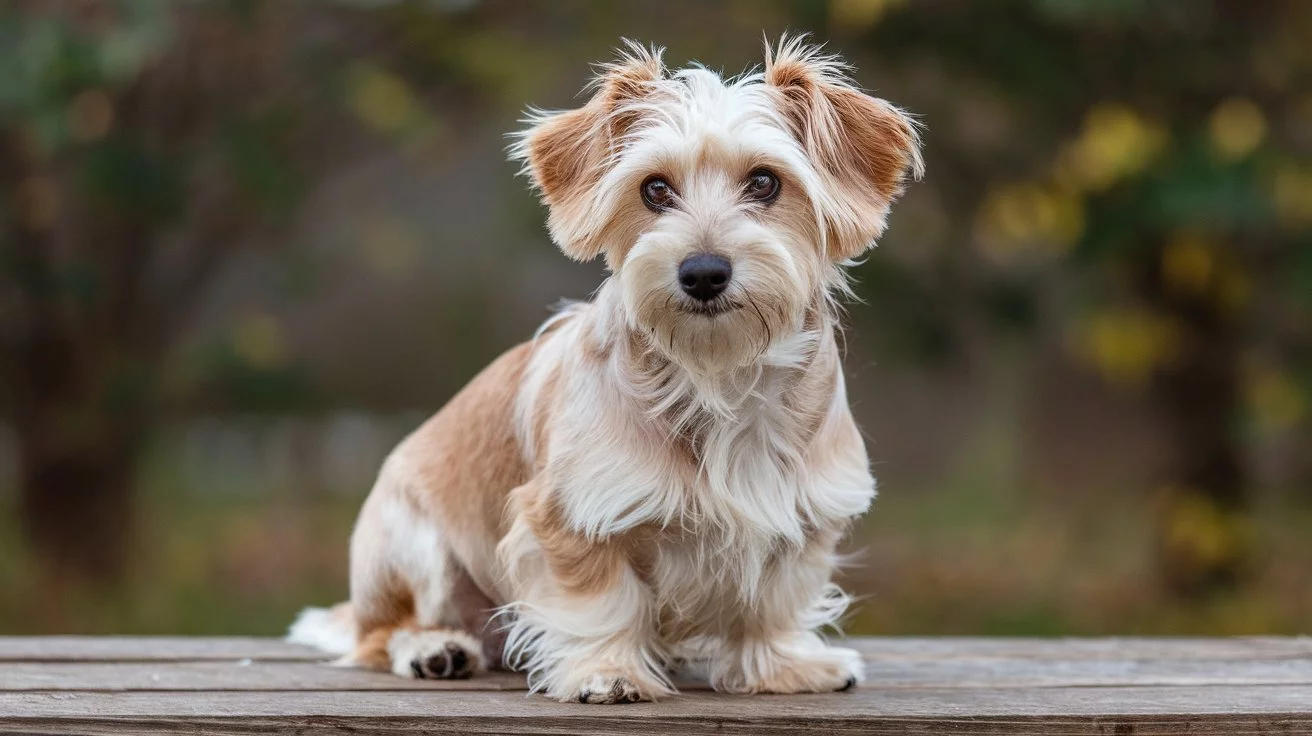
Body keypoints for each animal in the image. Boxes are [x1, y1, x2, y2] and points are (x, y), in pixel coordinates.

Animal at [287, 37, 923, 703]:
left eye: (765, 182)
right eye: (654, 189)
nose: (702, 272)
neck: (717, 376)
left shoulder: (805, 517)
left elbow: (774, 599)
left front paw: (781, 664)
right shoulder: (569, 515)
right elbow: (599, 599)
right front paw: (607, 670)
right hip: (414, 546)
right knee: (382, 634)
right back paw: (434, 649)